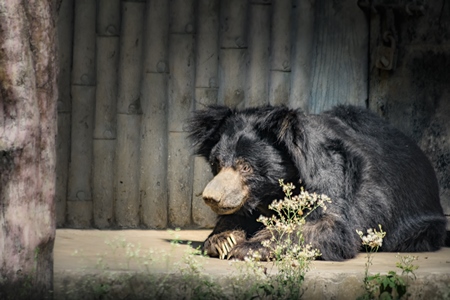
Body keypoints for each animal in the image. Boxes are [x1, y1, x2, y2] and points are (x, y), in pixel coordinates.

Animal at [186, 105, 446, 260]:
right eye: (217, 163)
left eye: (245, 166)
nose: (211, 197)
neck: (271, 194)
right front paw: (223, 240)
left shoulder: (333, 179)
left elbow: (332, 228)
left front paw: (248, 247)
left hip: (417, 220)